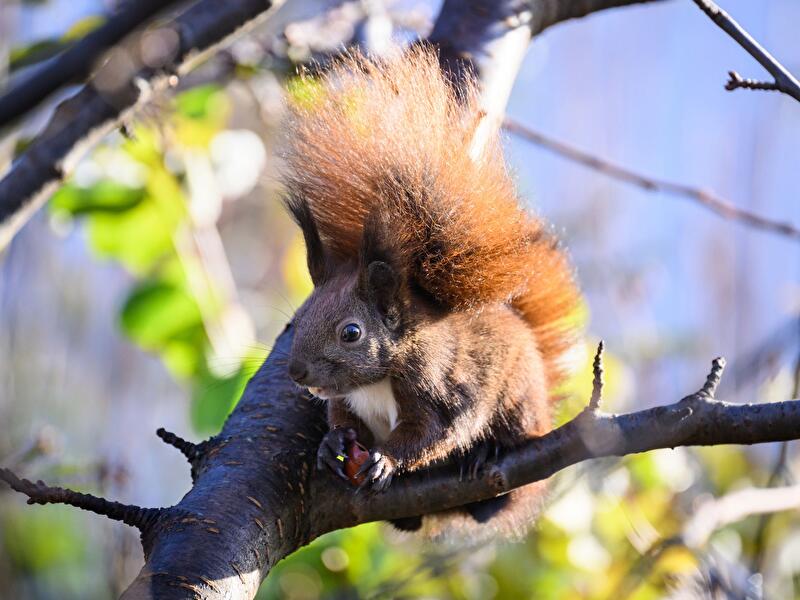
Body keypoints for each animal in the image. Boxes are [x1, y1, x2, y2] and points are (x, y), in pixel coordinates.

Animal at [280, 47, 581, 539]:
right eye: (298, 320)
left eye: (351, 333)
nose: (297, 373)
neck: (377, 379)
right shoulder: (346, 400)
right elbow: (342, 418)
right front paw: (332, 443)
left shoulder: (438, 385)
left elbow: (436, 432)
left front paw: (386, 459)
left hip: (519, 403)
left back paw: (488, 456)